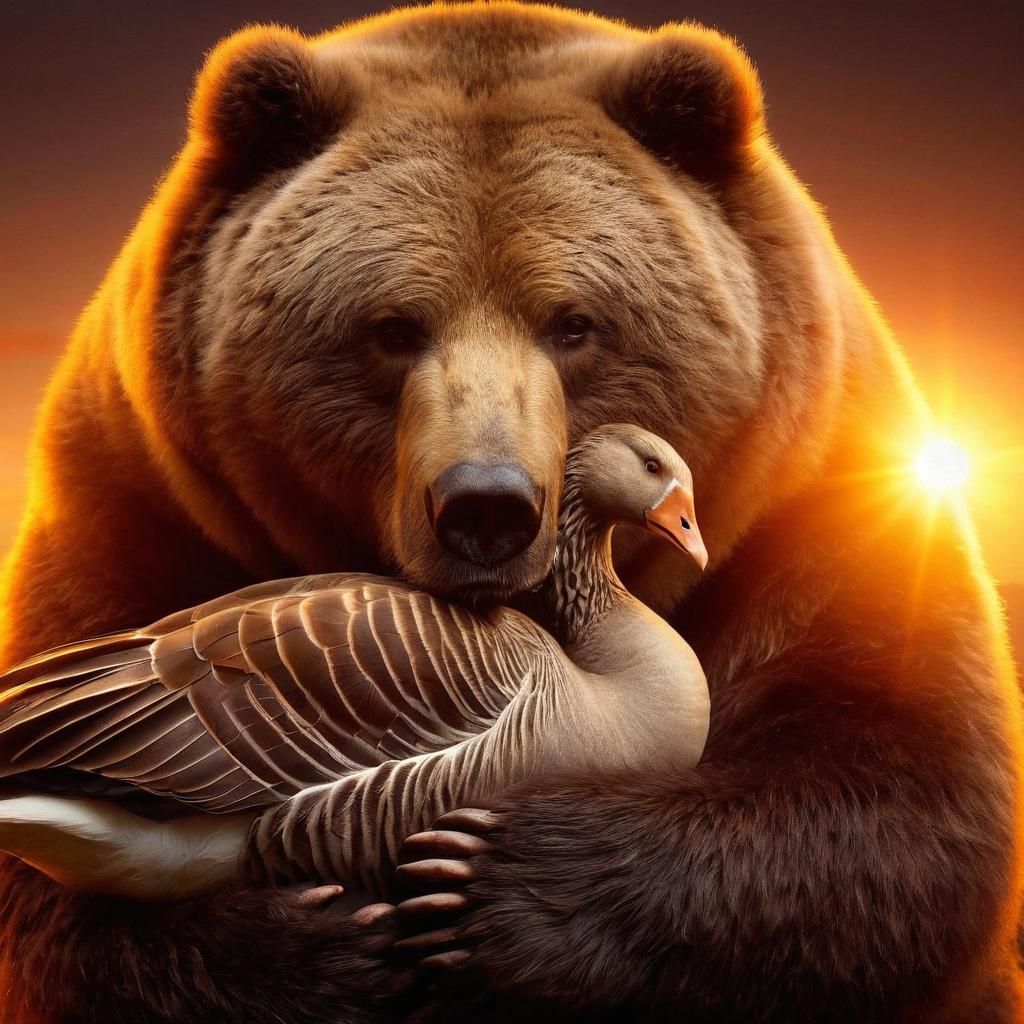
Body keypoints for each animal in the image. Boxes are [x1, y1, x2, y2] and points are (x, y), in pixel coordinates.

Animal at [0, 3, 1021, 1023]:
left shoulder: (831, 520)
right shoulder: (131, 510)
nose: (488, 508)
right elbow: (56, 936)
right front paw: (328, 953)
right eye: (392, 328)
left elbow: (900, 817)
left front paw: (507, 888)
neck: (597, 683)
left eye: (574, 325)